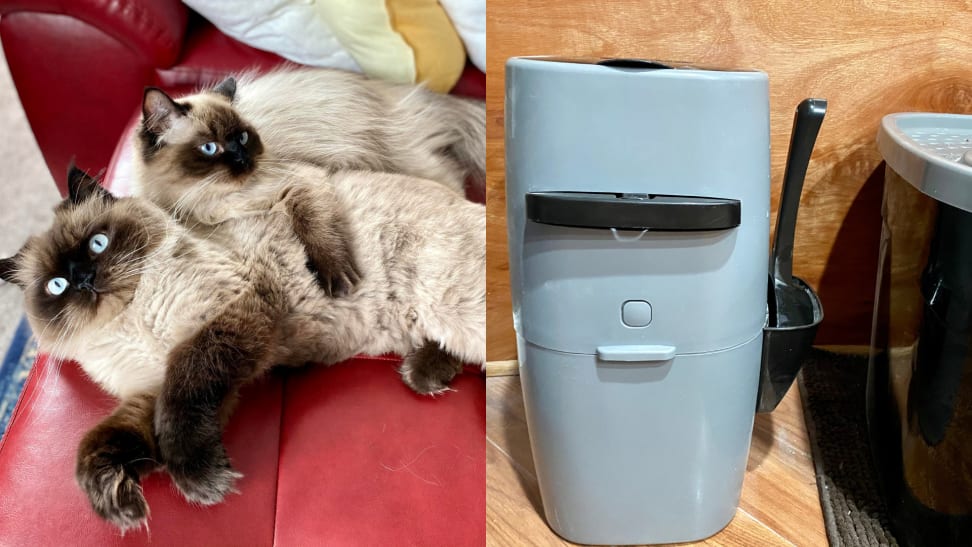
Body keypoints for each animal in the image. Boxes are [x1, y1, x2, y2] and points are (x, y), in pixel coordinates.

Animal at [0, 166, 486, 532]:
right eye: (56, 286)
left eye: (97, 243)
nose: (83, 280)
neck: (132, 321)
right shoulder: (151, 391)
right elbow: (105, 440)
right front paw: (116, 500)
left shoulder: (228, 322)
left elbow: (182, 396)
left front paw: (199, 479)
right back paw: (424, 373)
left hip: (453, 307)